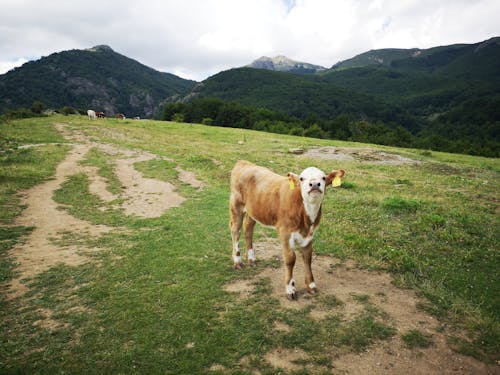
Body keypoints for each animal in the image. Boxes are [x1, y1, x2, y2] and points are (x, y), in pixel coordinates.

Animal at [229, 160, 344, 302]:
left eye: (323, 178)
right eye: (301, 178)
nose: (314, 184)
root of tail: (244, 163)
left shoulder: (310, 234)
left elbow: (308, 257)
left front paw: (311, 285)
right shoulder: (285, 232)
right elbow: (290, 259)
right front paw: (290, 289)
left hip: (253, 210)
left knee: (248, 229)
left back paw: (251, 259)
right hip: (236, 205)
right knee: (235, 230)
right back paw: (238, 262)